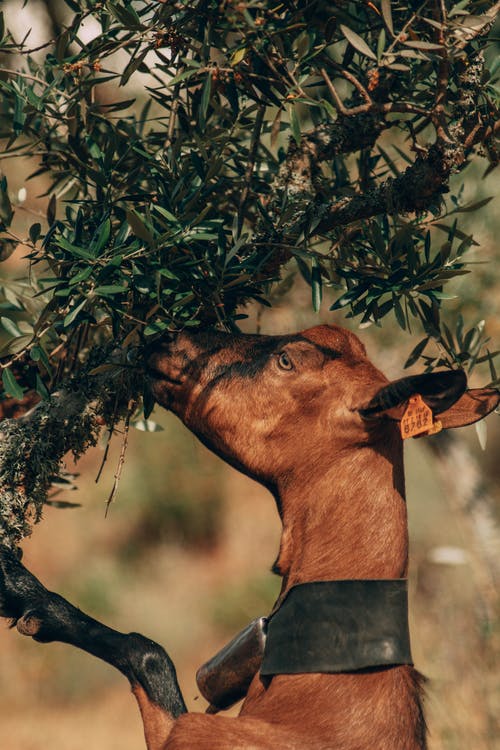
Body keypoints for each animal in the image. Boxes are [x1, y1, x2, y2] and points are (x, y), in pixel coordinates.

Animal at [0, 324, 500, 750]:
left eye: (286, 360)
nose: (170, 337)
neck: (332, 684)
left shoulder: (193, 734)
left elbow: (147, 652)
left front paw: (24, 592)